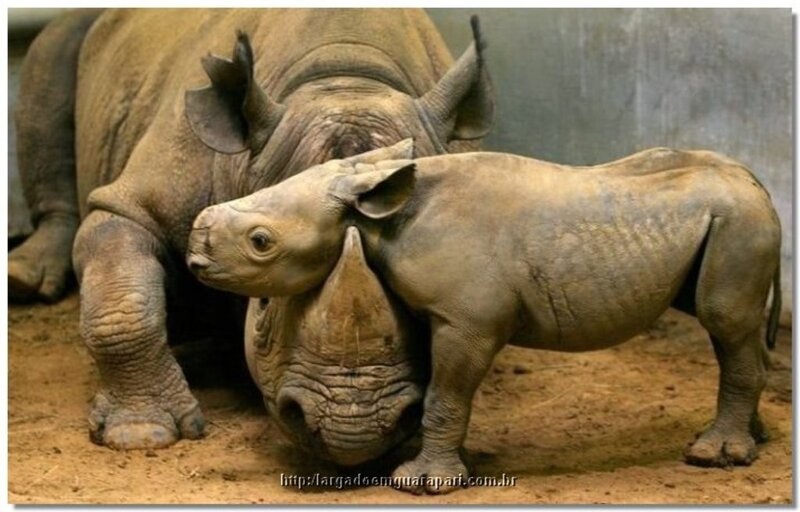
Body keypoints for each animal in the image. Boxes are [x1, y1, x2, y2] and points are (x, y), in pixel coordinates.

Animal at [9, 8, 495, 456]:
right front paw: (141, 434)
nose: (354, 436)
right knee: (50, 55)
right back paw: (23, 280)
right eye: (260, 303)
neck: (345, 77)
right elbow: (123, 297)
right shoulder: (138, 202)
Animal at [188, 140, 782, 494]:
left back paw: (714, 457)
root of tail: (758, 183)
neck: (379, 215)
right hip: (726, 218)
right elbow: (432, 388)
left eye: (261, 242)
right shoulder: (438, 311)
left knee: (724, 320)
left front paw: (422, 483)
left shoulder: (466, 320)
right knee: (732, 328)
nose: (194, 255)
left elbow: (446, 393)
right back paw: (752, 440)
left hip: (740, 222)